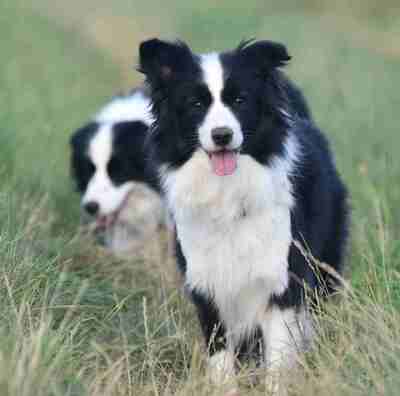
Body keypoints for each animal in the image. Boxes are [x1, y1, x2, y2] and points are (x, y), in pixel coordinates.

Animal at [138, 38, 350, 392]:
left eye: (240, 100)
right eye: (195, 103)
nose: (222, 135)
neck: (228, 195)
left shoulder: (281, 281)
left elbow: (278, 360)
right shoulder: (207, 287)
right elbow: (220, 359)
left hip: (323, 266)